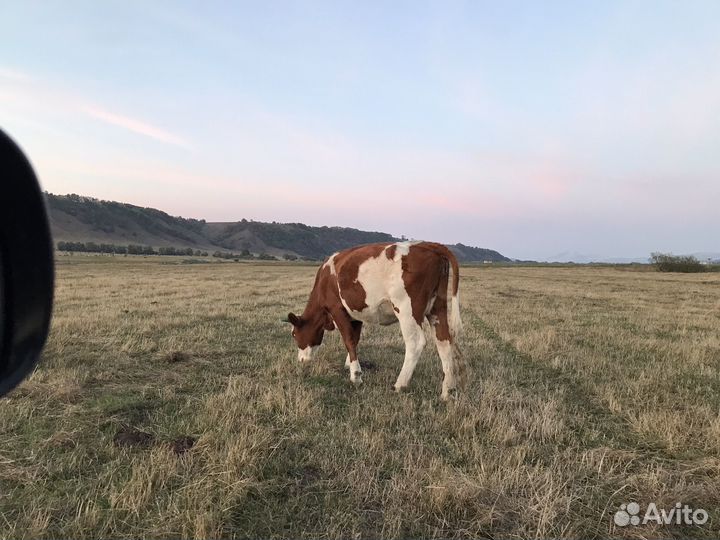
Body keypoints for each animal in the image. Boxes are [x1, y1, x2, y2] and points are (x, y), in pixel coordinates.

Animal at [283, 241, 468, 400]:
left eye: (294, 334)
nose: (301, 360)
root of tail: (428, 244)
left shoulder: (338, 310)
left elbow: (348, 340)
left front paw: (356, 376)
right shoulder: (355, 314)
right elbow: (355, 339)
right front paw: (350, 364)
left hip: (407, 309)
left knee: (415, 343)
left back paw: (399, 385)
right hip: (438, 308)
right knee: (444, 342)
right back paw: (447, 391)